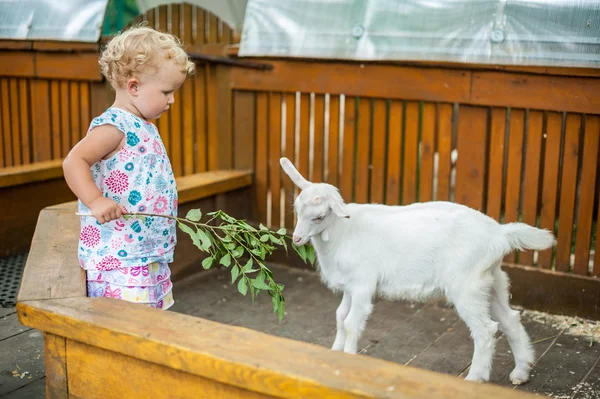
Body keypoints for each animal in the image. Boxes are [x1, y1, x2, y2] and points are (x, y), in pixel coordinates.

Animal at [278, 158, 556, 386]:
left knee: (486, 329)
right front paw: (333, 355)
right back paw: (521, 372)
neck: (342, 232)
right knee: (510, 319)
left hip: (467, 286)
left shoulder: (362, 284)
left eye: (319, 216)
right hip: (492, 280)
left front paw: (347, 360)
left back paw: (474, 378)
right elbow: (340, 316)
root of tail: (499, 233)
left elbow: (351, 322)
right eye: (297, 209)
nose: (297, 239)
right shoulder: (349, 286)